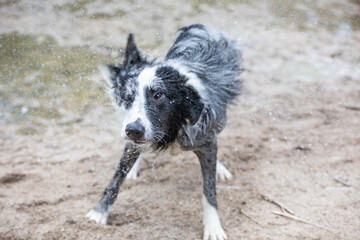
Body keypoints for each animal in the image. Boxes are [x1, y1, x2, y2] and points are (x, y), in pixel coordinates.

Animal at [85, 23, 240, 239]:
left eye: (158, 95)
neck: (173, 127)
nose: (133, 130)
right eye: (128, 97)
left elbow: (209, 191)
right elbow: (116, 178)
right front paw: (99, 212)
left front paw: (213, 227)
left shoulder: (206, 138)